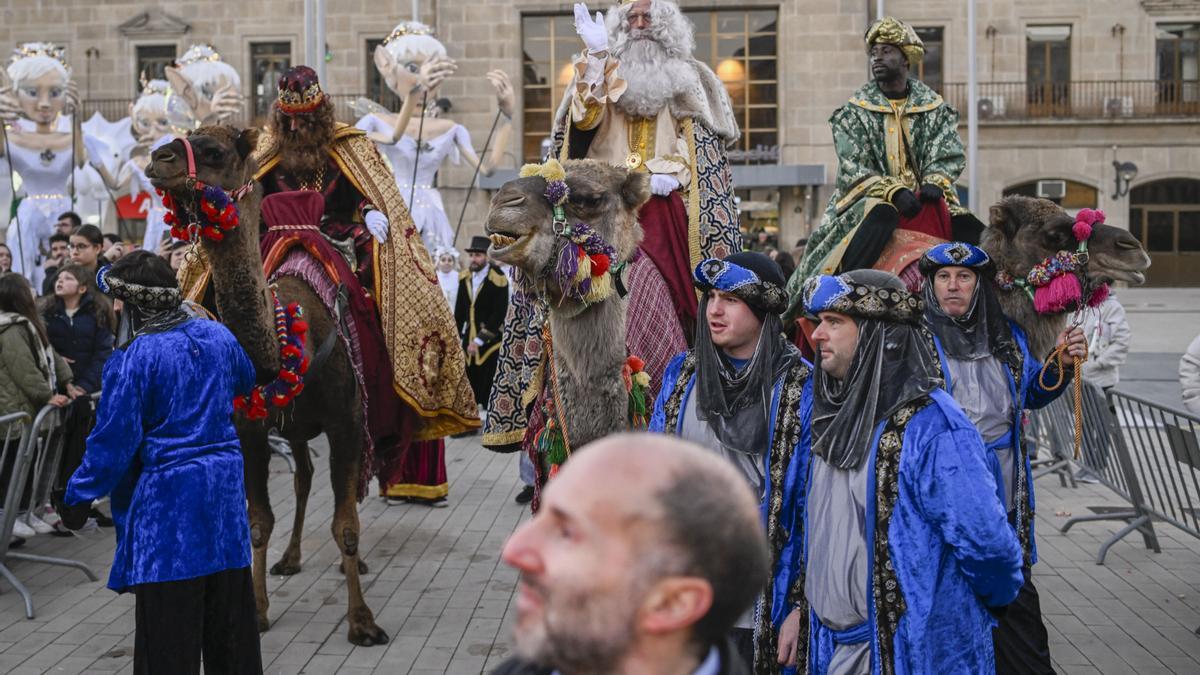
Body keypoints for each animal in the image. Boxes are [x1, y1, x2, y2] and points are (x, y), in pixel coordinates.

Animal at [144, 127, 388, 648]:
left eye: (214, 150)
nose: (158, 157)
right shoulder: (250, 427)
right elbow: (258, 523)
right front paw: (256, 610)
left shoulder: (346, 421)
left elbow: (346, 524)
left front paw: (362, 621)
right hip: (291, 428)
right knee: (303, 476)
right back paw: (291, 558)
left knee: (342, 490)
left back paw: (350, 565)